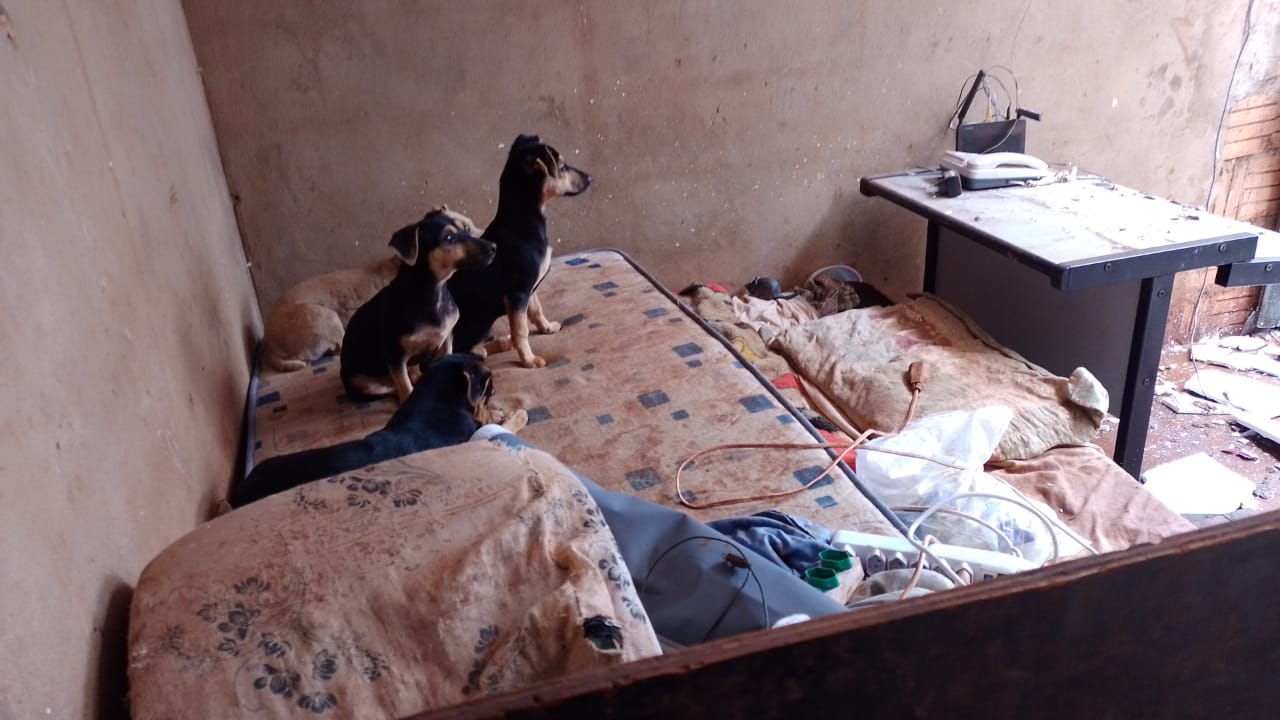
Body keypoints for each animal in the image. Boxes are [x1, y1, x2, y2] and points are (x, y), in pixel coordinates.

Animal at [230, 351, 524, 504]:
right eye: (489, 390)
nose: (496, 393)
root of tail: (238, 491)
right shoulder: (473, 434)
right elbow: (500, 426)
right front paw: (515, 415)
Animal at [340, 204, 494, 399]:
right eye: (448, 238)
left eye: (466, 229)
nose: (493, 247)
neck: (432, 291)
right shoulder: (395, 356)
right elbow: (405, 386)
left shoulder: (446, 340)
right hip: (361, 383)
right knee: (393, 389)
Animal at [450, 134, 588, 366]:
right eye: (561, 166)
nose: (591, 178)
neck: (525, 220)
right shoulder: (517, 294)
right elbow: (521, 330)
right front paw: (529, 361)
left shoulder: (529, 289)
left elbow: (536, 310)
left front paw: (547, 328)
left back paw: (501, 343)